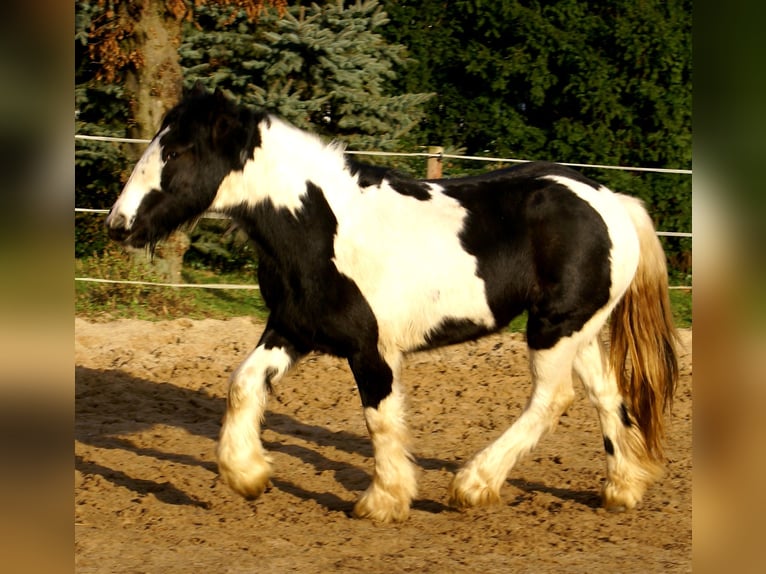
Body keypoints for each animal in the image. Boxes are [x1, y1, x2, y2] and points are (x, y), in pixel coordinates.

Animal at [106, 88, 680, 524]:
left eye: (178, 152)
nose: (118, 225)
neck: (320, 225)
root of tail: (612, 200)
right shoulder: (293, 329)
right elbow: (243, 383)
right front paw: (247, 475)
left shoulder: (370, 348)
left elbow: (379, 420)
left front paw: (384, 501)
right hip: (576, 328)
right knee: (607, 394)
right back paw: (622, 489)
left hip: (554, 329)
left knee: (552, 398)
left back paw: (473, 485)